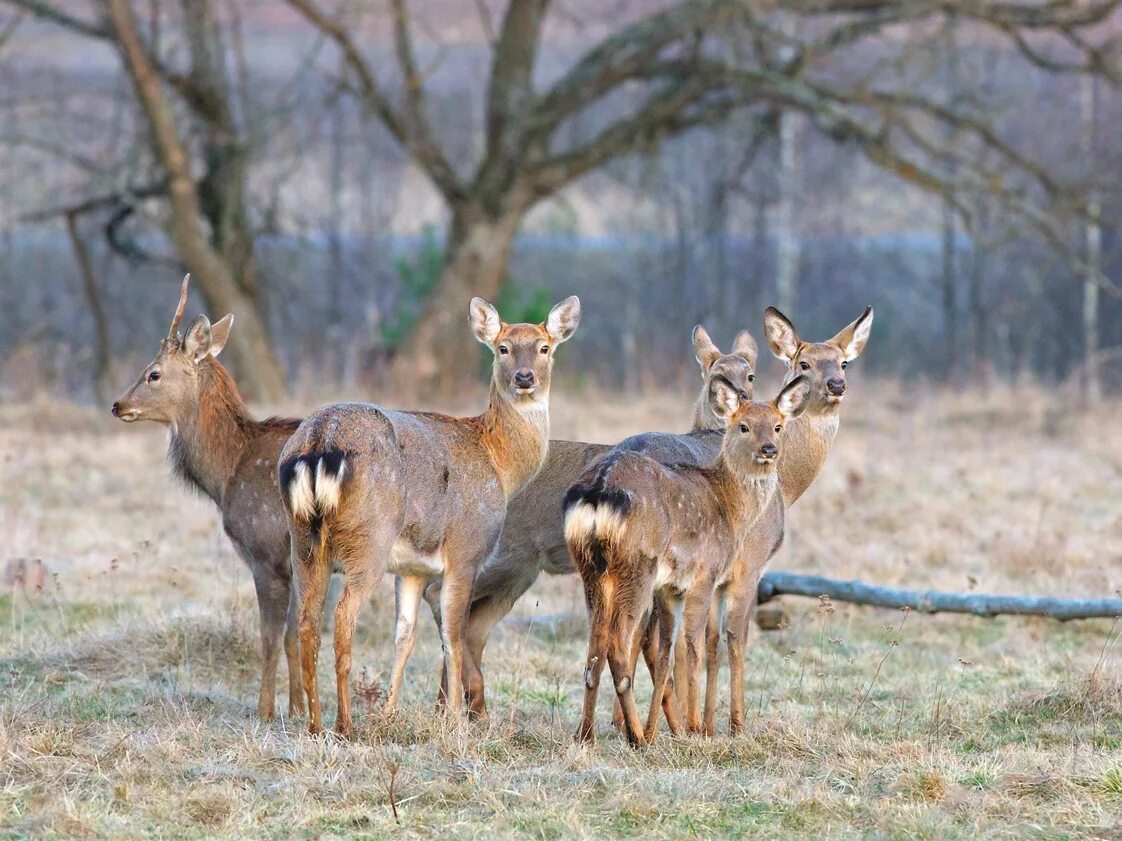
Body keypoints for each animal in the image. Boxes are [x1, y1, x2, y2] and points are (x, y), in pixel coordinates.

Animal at [109, 274, 307, 717]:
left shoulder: (265, 552)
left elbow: (271, 638)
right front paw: (298, 711)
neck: (228, 472)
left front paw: (265, 712)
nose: (117, 404)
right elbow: (295, 638)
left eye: (153, 373)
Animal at [278, 293, 578, 735]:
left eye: (544, 347)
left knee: (307, 621)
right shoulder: (467, 550)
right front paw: (454, 719)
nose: (524, 378)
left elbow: (405, 637)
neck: (500, 463)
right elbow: (454, 636)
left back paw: (316, 725)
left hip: (301, 540)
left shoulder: (412, 568)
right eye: (503, 348)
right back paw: (344, 725)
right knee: (344, 617)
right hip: (369, 538)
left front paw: (390, 713)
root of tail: (318, 441)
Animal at [433, 325, 758, 722]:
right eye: (716, 373)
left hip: (520, 573)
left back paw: (462, 708)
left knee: (471, 623)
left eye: (750, 374)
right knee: (445, 603)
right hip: (502, 555)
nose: (740, 397)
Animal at [565, 379, 812, 749]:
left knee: (595, 648)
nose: (769, 450)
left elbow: (670, 649)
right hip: (636, 566)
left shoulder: (672, 588)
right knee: (619, 643)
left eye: (778, 426)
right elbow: (697, 645)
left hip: (590, 569)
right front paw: (698, 728)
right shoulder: (706, 575)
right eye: (743, 426)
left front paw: (672, 728)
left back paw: (587, 736)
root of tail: (598, 490)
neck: (729, 508)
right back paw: (636, 738)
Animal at [691, 305, 875, 735]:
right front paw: (736, 725)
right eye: (804, 363)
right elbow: (736, 638)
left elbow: (710, 641)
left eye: (844, 362)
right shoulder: (749, 564)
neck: (785, 488)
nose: (837, 384)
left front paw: (705, 727)